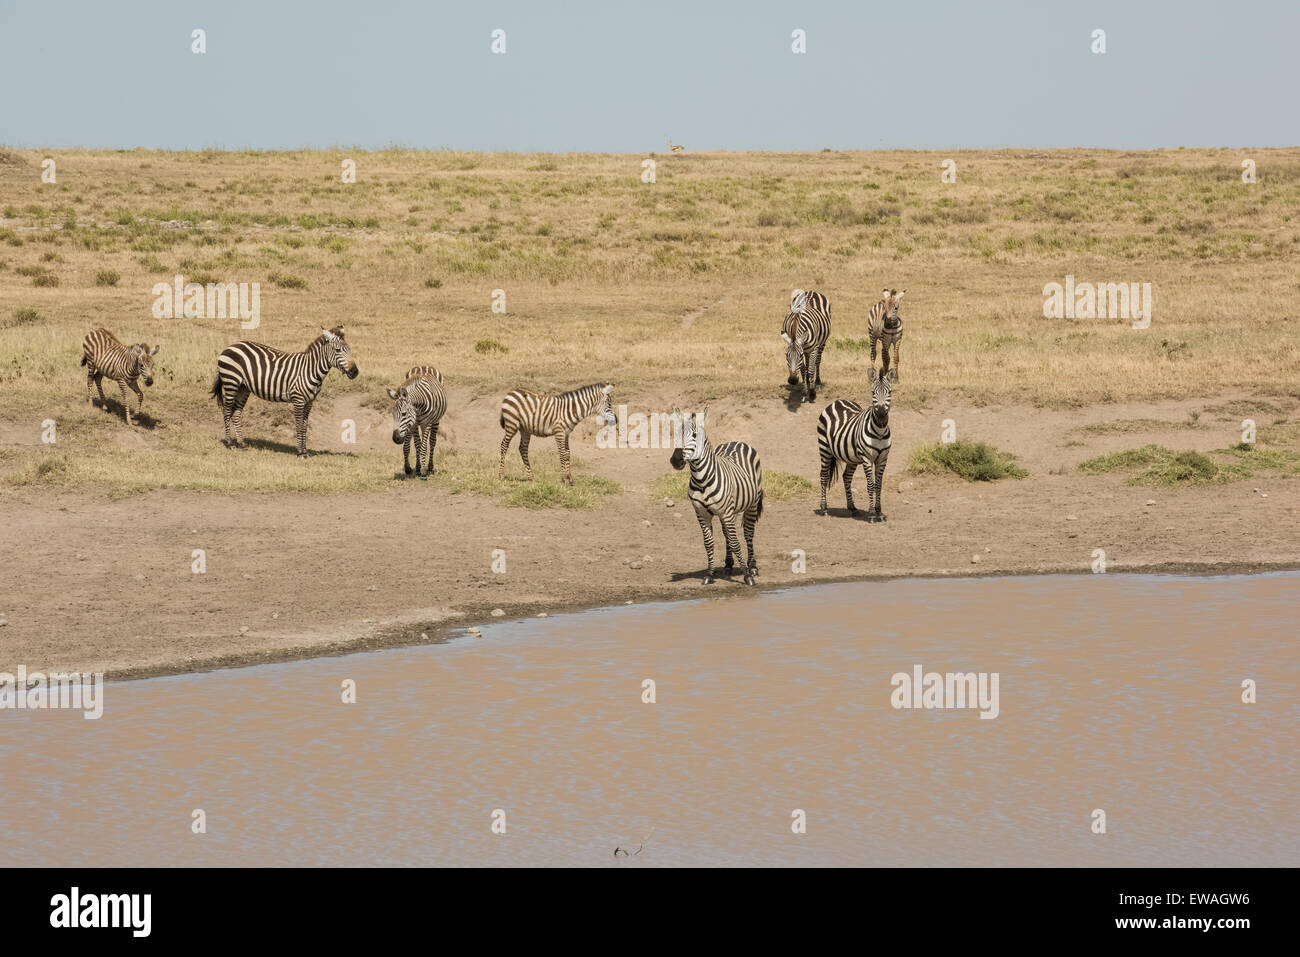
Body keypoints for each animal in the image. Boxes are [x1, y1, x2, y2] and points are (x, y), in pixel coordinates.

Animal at [210, 326, 358, 457]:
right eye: (338, 350)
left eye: (349, 350)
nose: (355, 372)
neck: (310, 370)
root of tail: (231, 346)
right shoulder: (298, 400)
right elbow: (299, 425)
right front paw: (300, 452)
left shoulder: (309, 402)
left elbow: (305, 425)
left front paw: (305, 451)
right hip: (231, 382)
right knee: (226, 411)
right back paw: (230, 443)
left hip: (243, 388)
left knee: (236, 412)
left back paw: (242, 443)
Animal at [668, 406, 763, 586]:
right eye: (676, 434)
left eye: (695, 435)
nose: (676, 460)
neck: (701, 480)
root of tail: (736, 441)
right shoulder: (702, 513)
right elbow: (709, 543)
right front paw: (710, 574)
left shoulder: (726, 512)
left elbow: (736, 542)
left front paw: (747, 575)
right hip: (729, 511)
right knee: (727, 534)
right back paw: (728, 564)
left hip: (752, 504)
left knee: (748, 533)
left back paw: (753, 566)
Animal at [817, 366, 892, 522]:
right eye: (873, 393)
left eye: (890, 392)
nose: (882, 415)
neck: (880, 432)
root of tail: (837, 401)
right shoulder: (867, 458)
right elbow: (870, 485)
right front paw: (871, 514)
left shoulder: (883, 458)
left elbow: (879, 485)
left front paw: (879, 513)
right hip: (824, 448)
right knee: (824, 475)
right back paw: (824, 508)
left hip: (851, 456)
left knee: (846, 476)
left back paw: (852, 508)